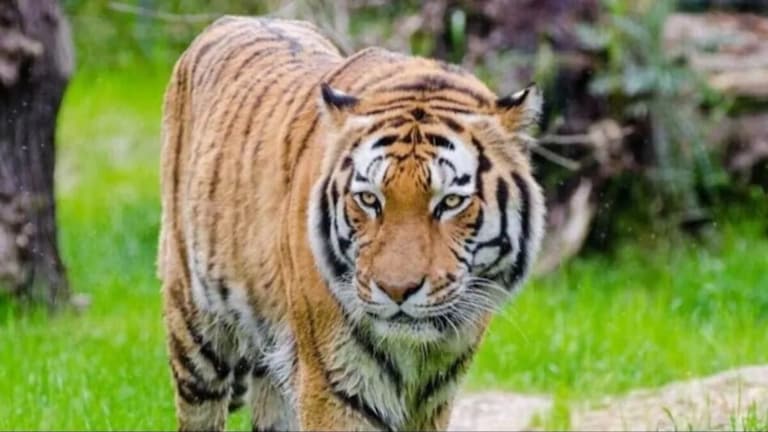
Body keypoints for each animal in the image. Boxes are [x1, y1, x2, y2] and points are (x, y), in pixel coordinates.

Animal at [158, 15, 545, 432]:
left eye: (451, 202)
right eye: (369, 199)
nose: (397, 291)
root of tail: (237, 18)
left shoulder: (436, 395)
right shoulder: (335, 383)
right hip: (196, 332)